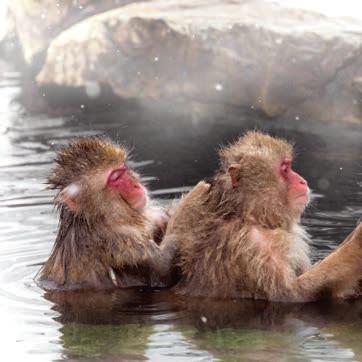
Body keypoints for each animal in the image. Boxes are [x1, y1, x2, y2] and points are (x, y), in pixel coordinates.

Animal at [37, 137, 173, 290]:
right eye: (115, 177)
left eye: (123, 168)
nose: (136, 185)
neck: (100, 220)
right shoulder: (120, 245)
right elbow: (164, 272)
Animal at [164, 132, 362, 302]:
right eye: (285, 169)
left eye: (289, 166)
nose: (303, 181)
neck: (255, 217)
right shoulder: (252, 247)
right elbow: (291, 295)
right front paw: (357, 241)